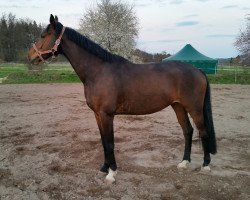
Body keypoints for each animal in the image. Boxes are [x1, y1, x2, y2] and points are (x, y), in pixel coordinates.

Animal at [27, 14, 217, 184]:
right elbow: (104, 142)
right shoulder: (97, 115)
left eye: (43, 35)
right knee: (188, 131)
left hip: (194, 108)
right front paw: (104, 168)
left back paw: (206, 165)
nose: (30, 56)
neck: (98, 71)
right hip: (178, 106)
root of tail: (198, 70)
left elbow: (110, 143)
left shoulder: (106, 115)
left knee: (203, 132)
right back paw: (184, 163)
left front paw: (112, 173)